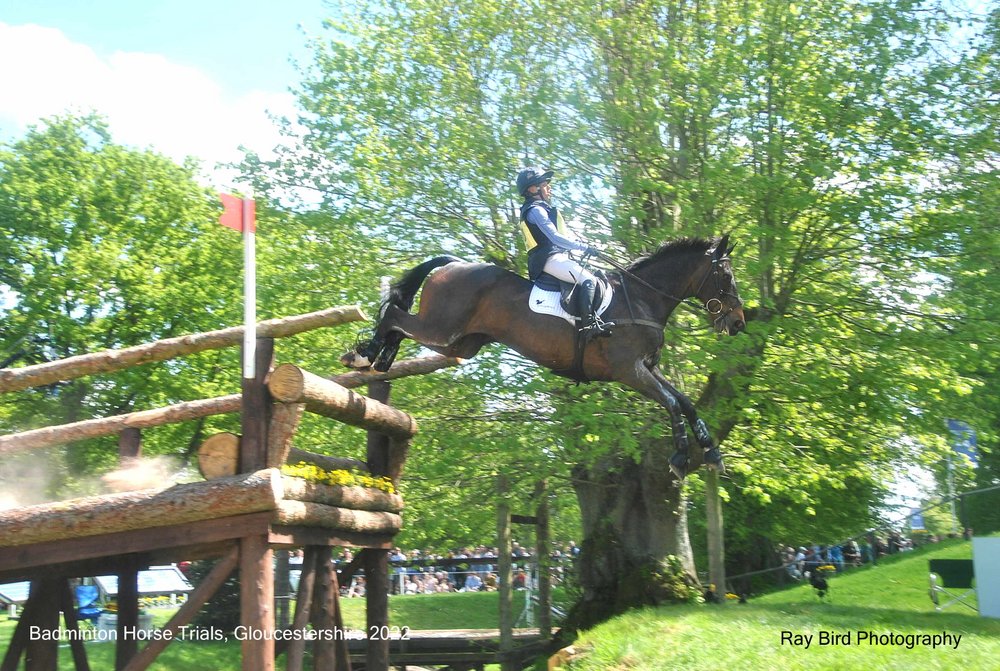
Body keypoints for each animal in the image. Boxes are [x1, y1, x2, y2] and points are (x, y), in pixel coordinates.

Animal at [342, 236, 744, 478]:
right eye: (726, 277)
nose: (738, 323)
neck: (642, 298)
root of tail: (453, 264)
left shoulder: (646, 368)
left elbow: (685, 402)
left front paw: (711, 453)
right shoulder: (629, 371)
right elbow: (673, 404)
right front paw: (679, 459)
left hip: (459, 344)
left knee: (400, 323)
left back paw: (380, 357)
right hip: (443, 328)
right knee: (394, 315)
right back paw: (366, 355)